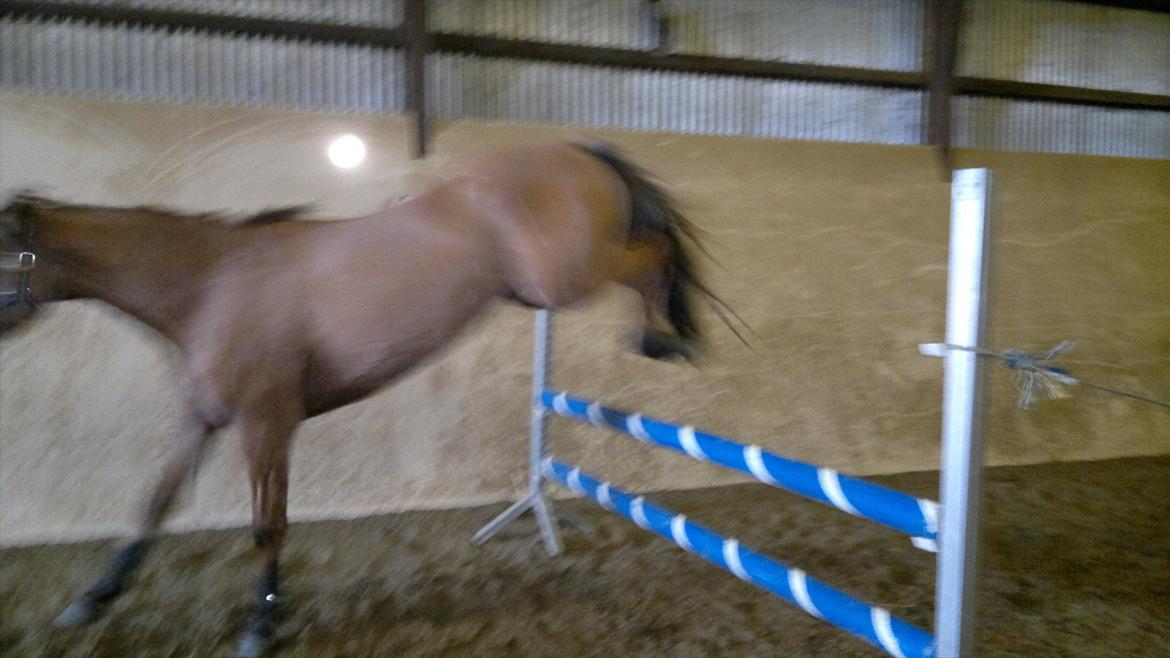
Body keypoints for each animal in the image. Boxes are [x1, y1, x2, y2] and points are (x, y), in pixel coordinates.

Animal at [0, 142, 722, 657]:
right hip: (538, 290)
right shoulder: (205, 420)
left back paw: (661, 337)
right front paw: (93, 599)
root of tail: (574, 152)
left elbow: (265, 525)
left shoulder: (264, 425)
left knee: (654, 251)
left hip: (563, 279)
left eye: (5, 252)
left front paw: (258, 628)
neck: (215, 285)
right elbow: (155, 503)